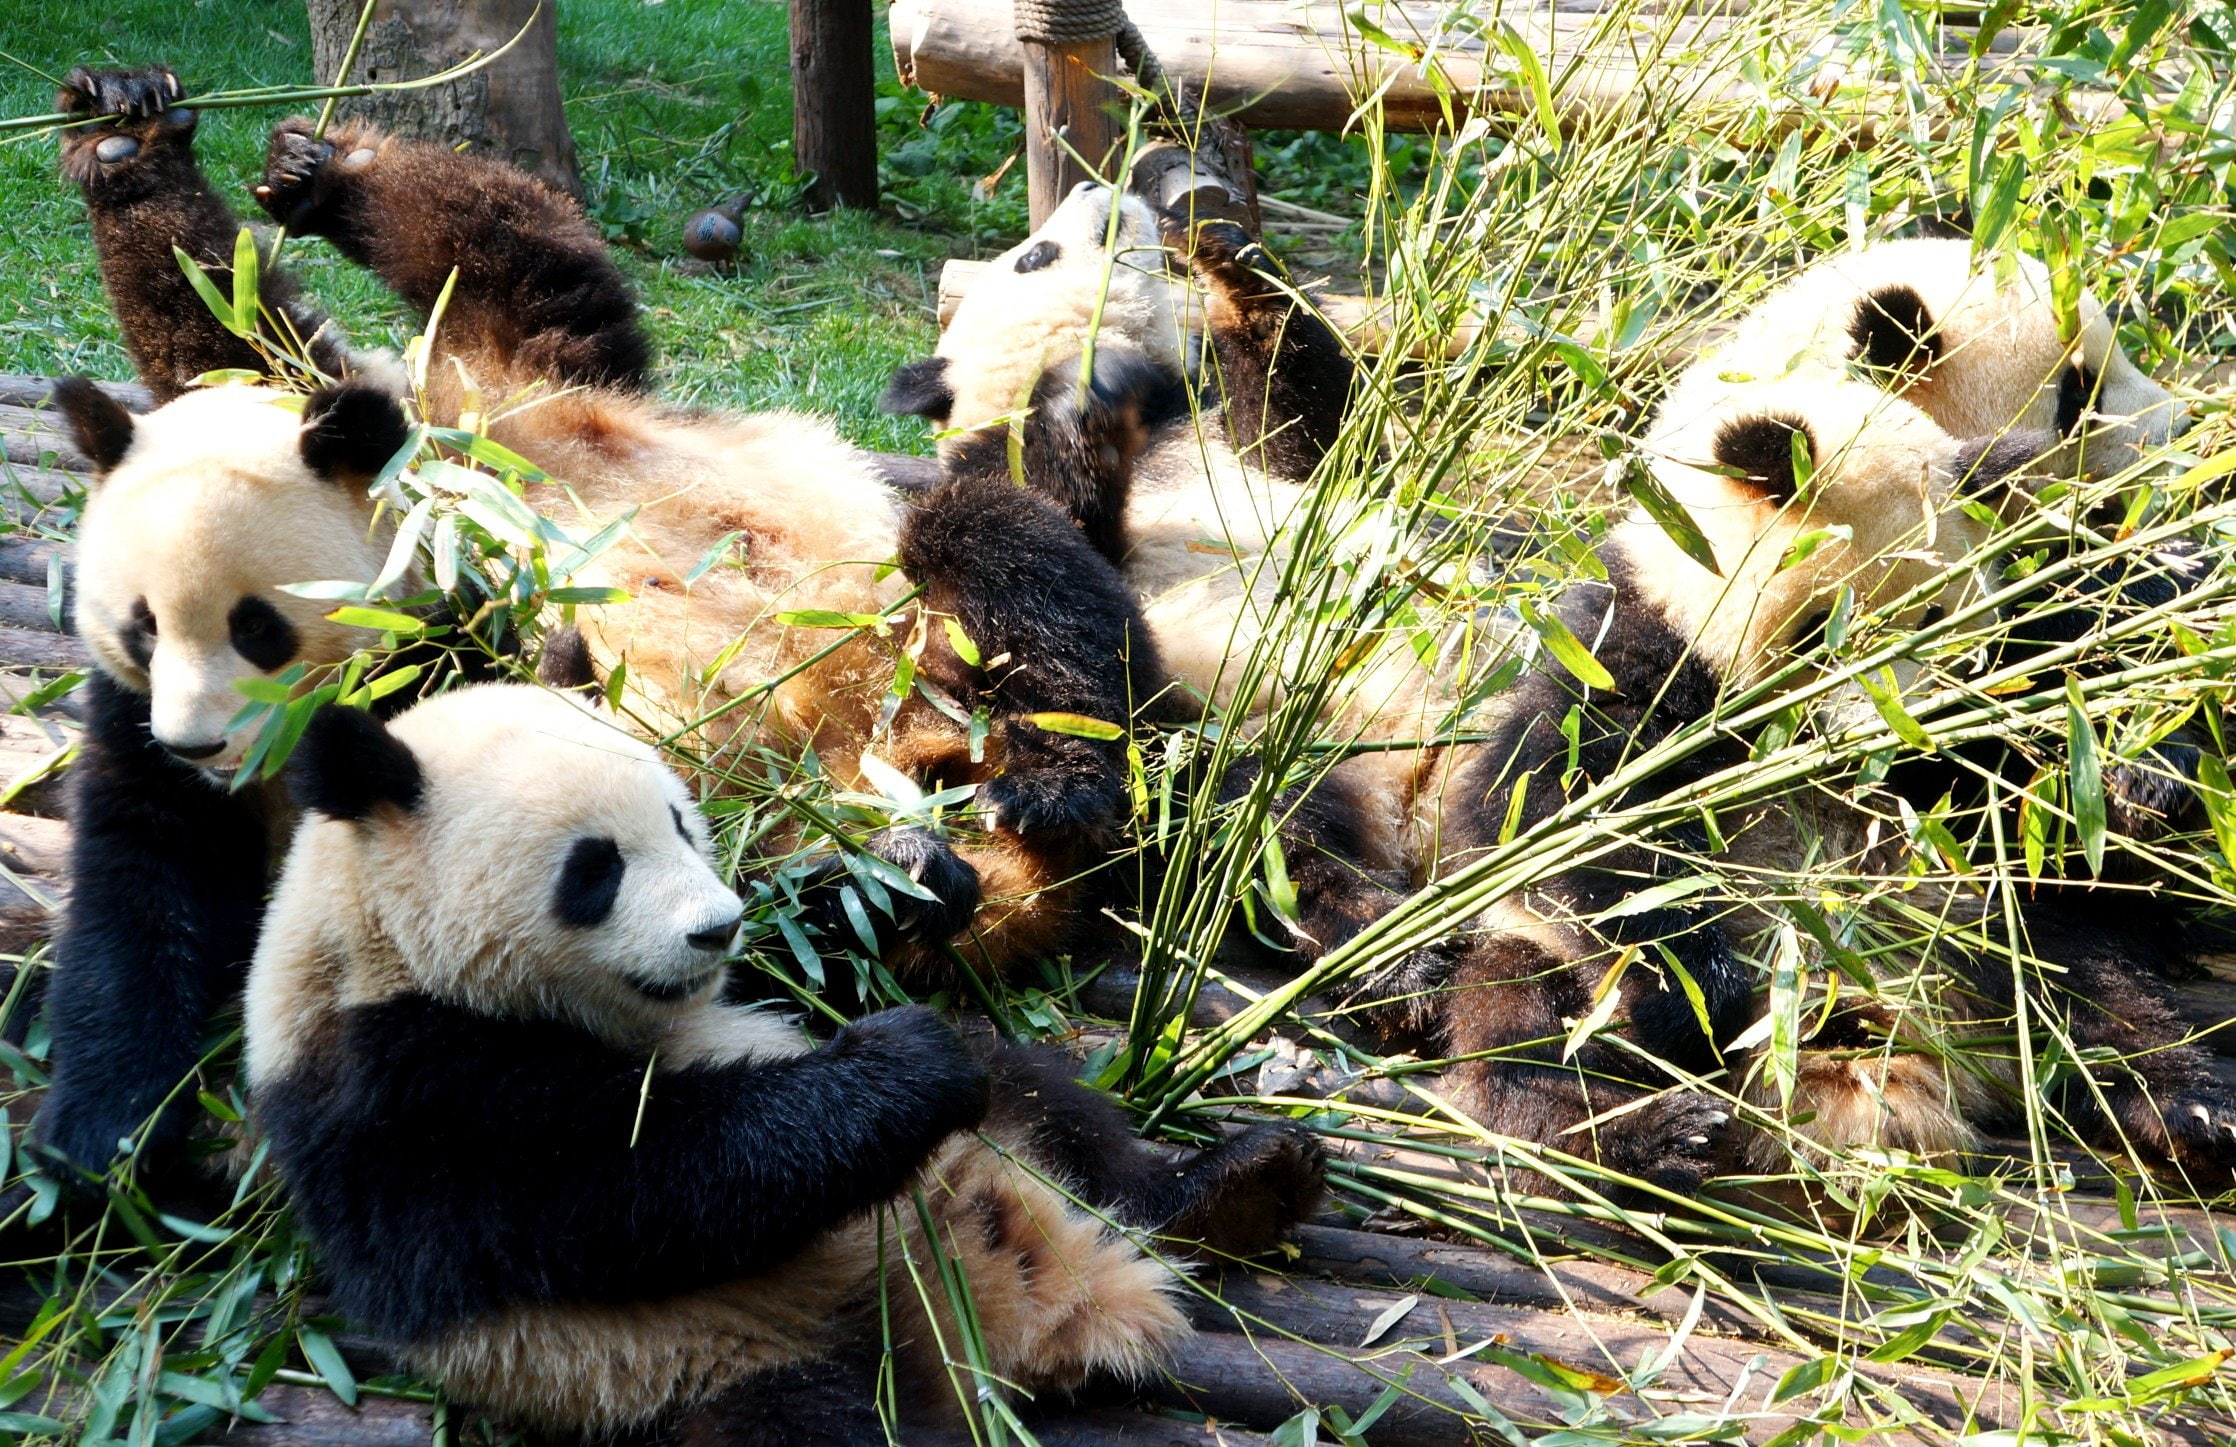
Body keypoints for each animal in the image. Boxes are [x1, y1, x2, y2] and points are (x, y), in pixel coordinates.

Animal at [31, 65, 1159, 1184]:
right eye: (139, 631)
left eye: (254, 630)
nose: (202, 745)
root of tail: (914, 769)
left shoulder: (532, 388)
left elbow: (480, 252)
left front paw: (212, 151)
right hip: (770, 819)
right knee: (801, 913)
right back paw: (894, 874)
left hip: (928, 645)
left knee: (1005, 558)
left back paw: (1048, 784)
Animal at [245, 683, 1323, 1440]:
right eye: (595, 868)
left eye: (682, 821)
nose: (711, 928)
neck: (367, 944)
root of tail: (1021, 1315)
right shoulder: (400, 1091)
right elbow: (639, 1181)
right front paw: (902, 1061)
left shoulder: (751, 982)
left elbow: (814, 950)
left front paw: (912, 876)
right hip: (709, 1367)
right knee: (805, 1423)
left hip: (1009, 1140)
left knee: (1051, 1103)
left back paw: (1239, 1186)